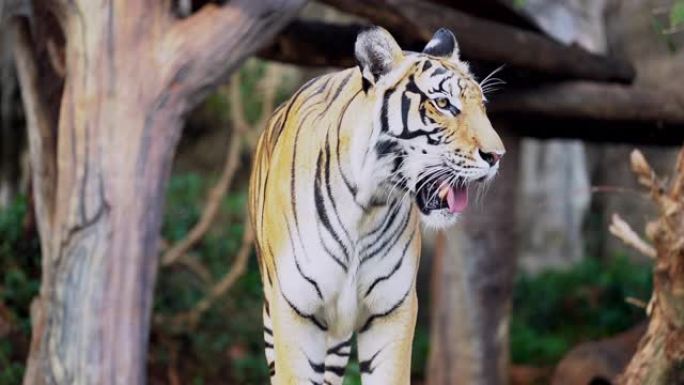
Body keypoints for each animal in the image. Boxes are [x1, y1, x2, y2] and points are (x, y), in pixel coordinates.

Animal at [248, 25, 504, 382]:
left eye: (482, 105)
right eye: (443, 103)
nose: (497, 156)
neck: (366, 205)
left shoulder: (393, 311)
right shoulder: (294, 311)